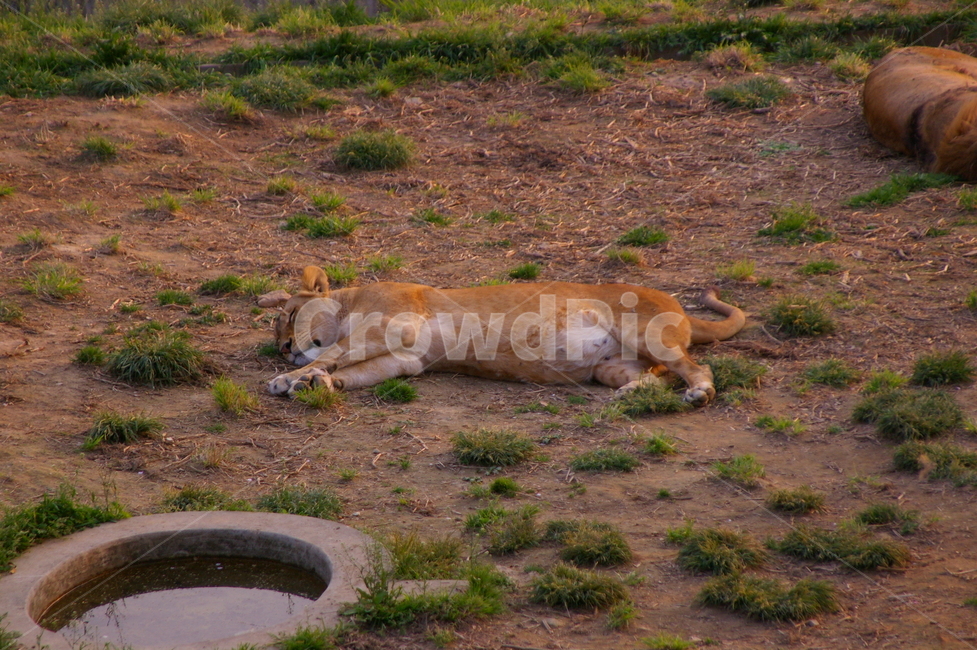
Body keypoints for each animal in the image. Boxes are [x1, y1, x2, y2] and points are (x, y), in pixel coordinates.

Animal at [258, 266, 746, 405]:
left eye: (291, 315)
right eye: (277, 337)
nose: (285, 350)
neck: (349, 303)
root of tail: (677, 303)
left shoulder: (388, 324)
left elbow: (335, 352)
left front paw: (290, 380)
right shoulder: (405, 360)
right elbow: (354, 372)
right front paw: (320, 384)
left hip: (643, 331)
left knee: (696, 367)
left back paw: (699, 393)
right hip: (611, 367)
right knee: (658, 375)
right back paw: (634, 393)